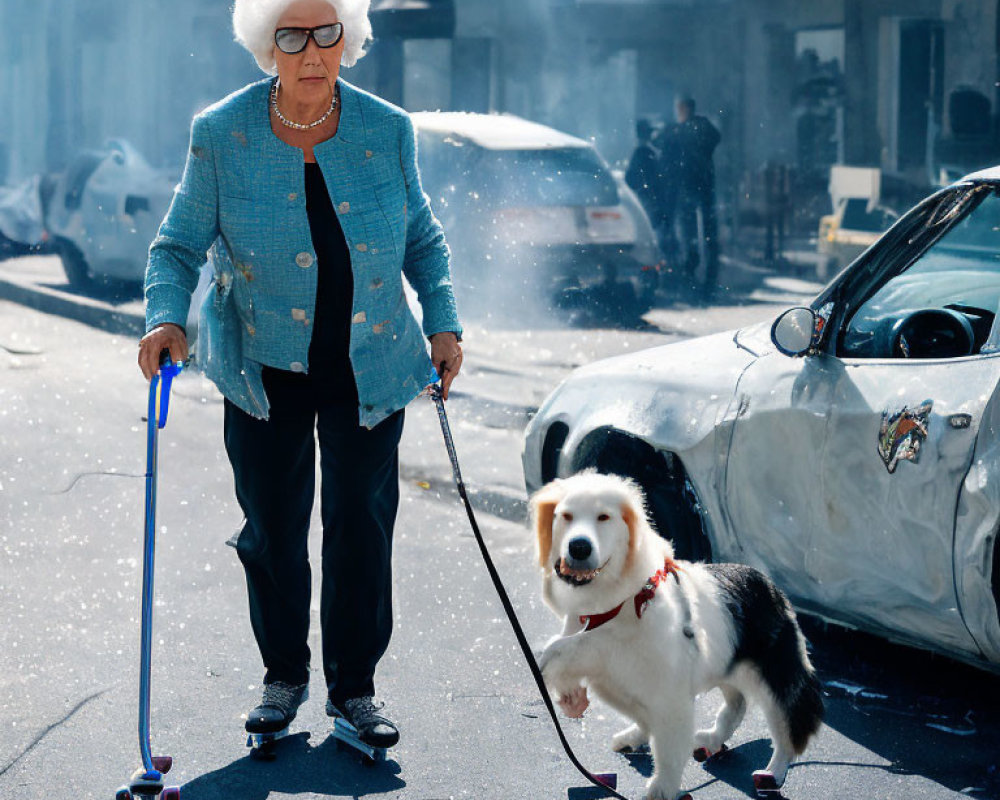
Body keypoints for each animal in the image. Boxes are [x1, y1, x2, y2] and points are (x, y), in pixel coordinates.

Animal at [532, 472, 820, 796]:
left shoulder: (670, 697)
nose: (579, 547)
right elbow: (640, 713)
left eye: (603, 517)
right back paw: (710, 740)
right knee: (737, 705)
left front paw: (662, 788)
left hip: (774, 678)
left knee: (787, 729)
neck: (615, 607)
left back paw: (773, 773)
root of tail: (771, 586)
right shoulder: (616, 676)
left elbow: (668, 750)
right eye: (566, 516)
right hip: (725, 666)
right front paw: (631, 734)